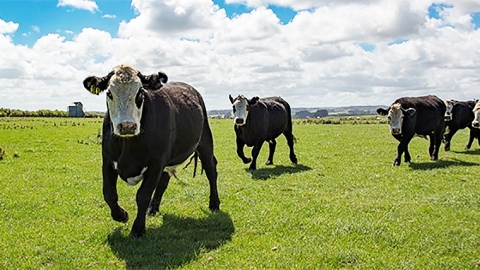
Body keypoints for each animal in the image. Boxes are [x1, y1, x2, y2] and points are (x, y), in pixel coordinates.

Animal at [83, 64, 221, 237]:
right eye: (109, 93)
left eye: (141, 92)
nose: (127, 126)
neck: (128, 145)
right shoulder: (107, 161)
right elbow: (109, 194)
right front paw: (121, 215)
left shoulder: (156, 163)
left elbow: (143, 195)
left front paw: (137, 229)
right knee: (164, 180)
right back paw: (153, 209)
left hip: (205, 141)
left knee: (211, 170)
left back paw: (214, 203)